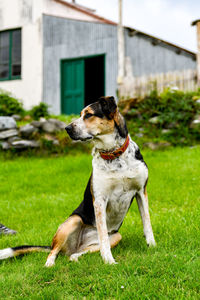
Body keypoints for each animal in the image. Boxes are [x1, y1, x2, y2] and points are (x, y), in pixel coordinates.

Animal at [0, 95, 156, 264]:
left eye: (88, 115)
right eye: (81, 114)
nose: (67, 128)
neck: (113, 154)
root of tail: (75, 246)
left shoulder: (141, 191)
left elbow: (147, 222)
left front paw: (152, 246)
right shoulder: (100, 200)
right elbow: (103, 236)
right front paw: (109, 261)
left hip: (116, 236)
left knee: (76, 253)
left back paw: (75, 257)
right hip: (72, 221)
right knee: (53, 251)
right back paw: (49, 264)